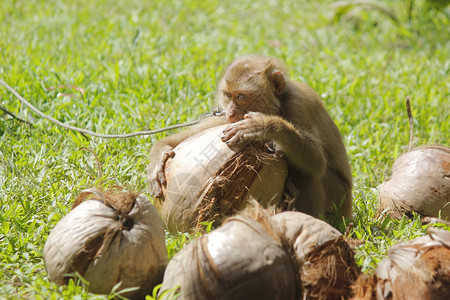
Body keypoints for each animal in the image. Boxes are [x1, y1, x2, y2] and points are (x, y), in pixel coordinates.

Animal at [148, 54, 352, 219]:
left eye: (241, 97)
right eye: (228, 95)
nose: (231, 113)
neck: (280, 103)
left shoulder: (298, 104)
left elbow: (317, 163)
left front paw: (265, 125)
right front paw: (158, 158)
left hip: (338, 200)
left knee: (308, 173)